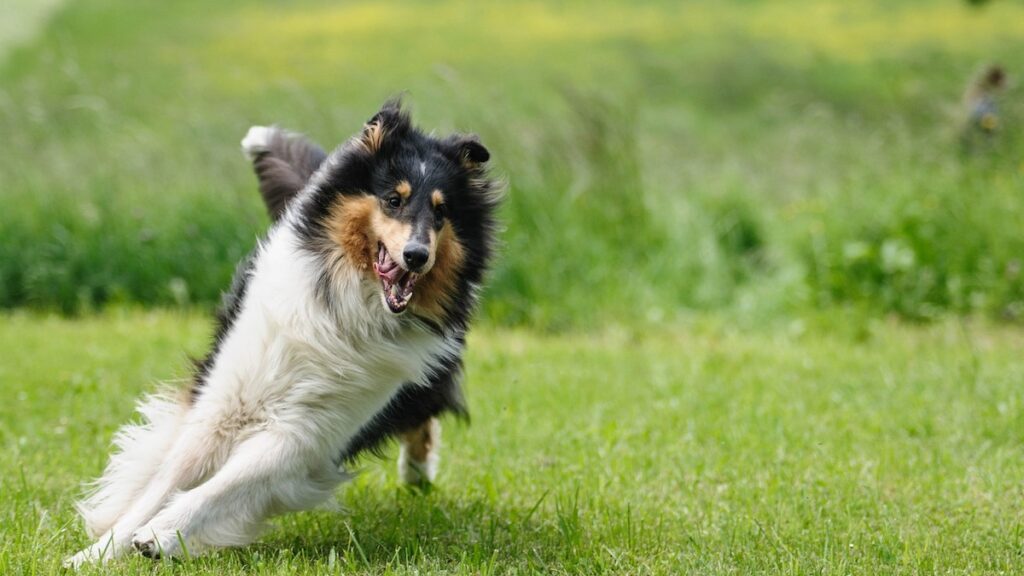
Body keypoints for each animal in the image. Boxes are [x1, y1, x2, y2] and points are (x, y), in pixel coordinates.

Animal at [64, 99, 499, 565]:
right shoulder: (223, 405)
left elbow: (223, 485)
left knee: (424, 411)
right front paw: (95, 553)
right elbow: (165, 481)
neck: (345, 308)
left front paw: (160, 535)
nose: (417, 256)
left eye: (441, 211)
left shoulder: (306, 434)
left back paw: (417, 473)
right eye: (393, 200)